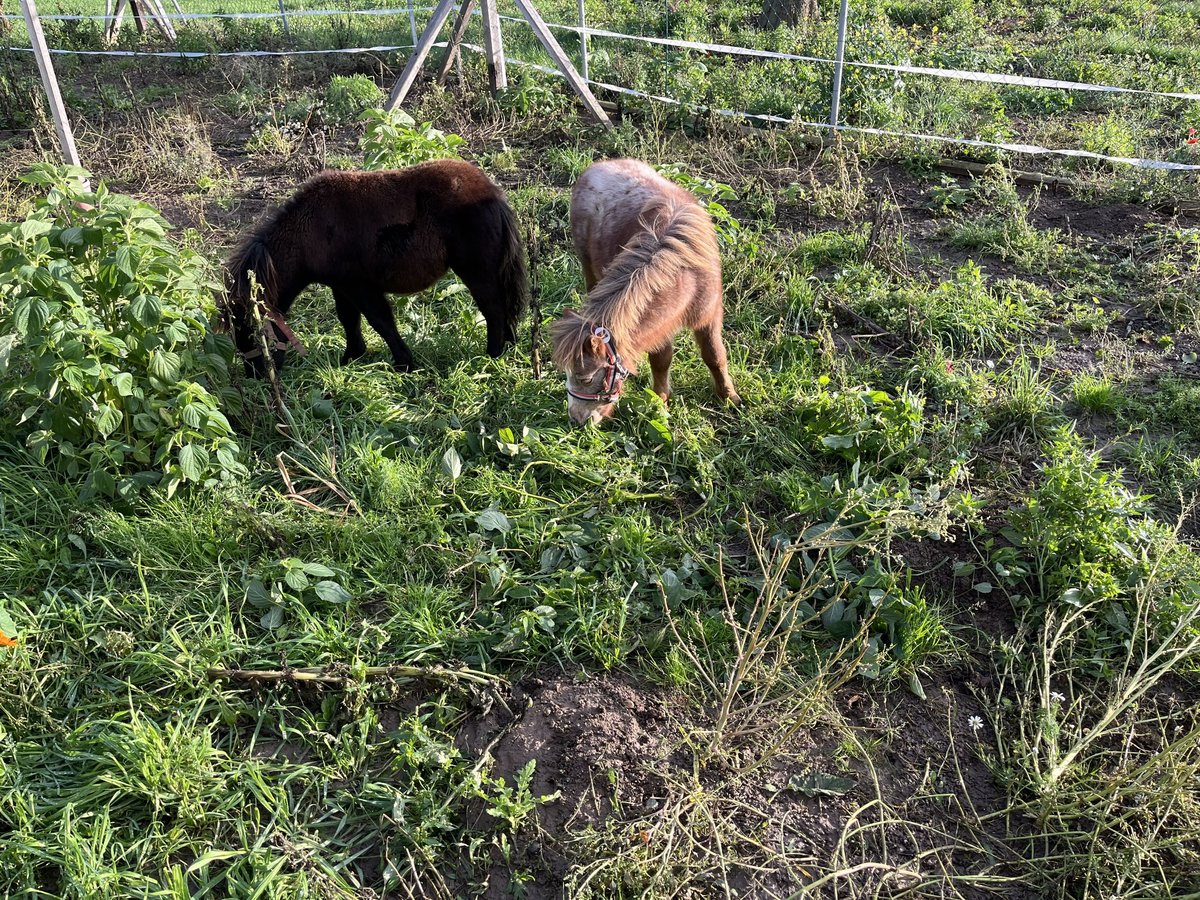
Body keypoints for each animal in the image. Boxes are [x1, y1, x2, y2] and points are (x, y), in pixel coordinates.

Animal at [223, 160, 528, 374]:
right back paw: (509, 348)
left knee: (494, 310)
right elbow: (349, 319)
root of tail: (494, 193)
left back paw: (493, 355)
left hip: (476, 272)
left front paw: (404, 364)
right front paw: (352, 357)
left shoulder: (360, 286)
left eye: (250, 329)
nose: (256, 376)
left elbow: (380, 321)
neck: (310, 230)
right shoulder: (342, 286)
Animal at [549, 158, 734, 427]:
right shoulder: (660, 325)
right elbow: (661, 362)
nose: (576, 420)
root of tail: (599, 165)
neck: (685, 274)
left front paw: (730, 398)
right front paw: (660, 405)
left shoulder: (709, 316)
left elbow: (715, 356)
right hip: (588, 267)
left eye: (585, 378)